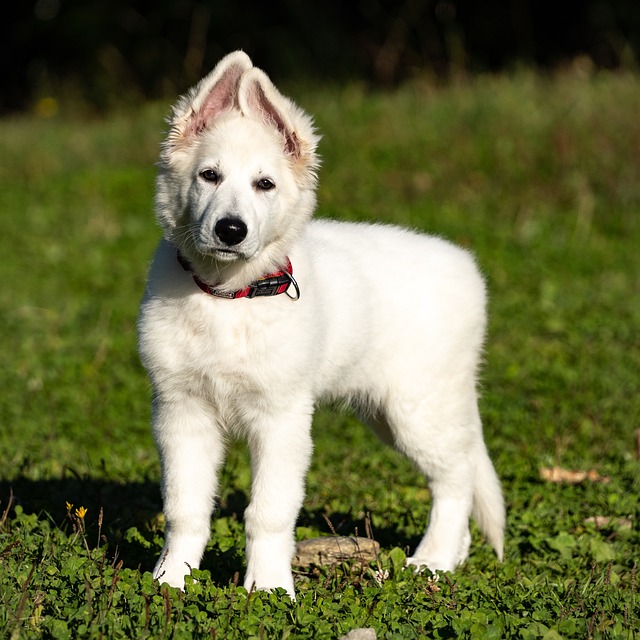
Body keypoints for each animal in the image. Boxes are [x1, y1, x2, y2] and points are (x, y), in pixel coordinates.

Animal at [139, 51, 504, 600]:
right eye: (209, 175)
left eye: (264, 184)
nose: (230, 230)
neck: (230, 299)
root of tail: (465, 267)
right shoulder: (182, 412)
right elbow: (185, 509)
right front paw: (171, 582)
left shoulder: (283, 418)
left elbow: (268, 513)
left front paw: (268, 590)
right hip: (390, 413)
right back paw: (450, 558)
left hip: (421, 408)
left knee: (456, 479)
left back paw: (433, 558)